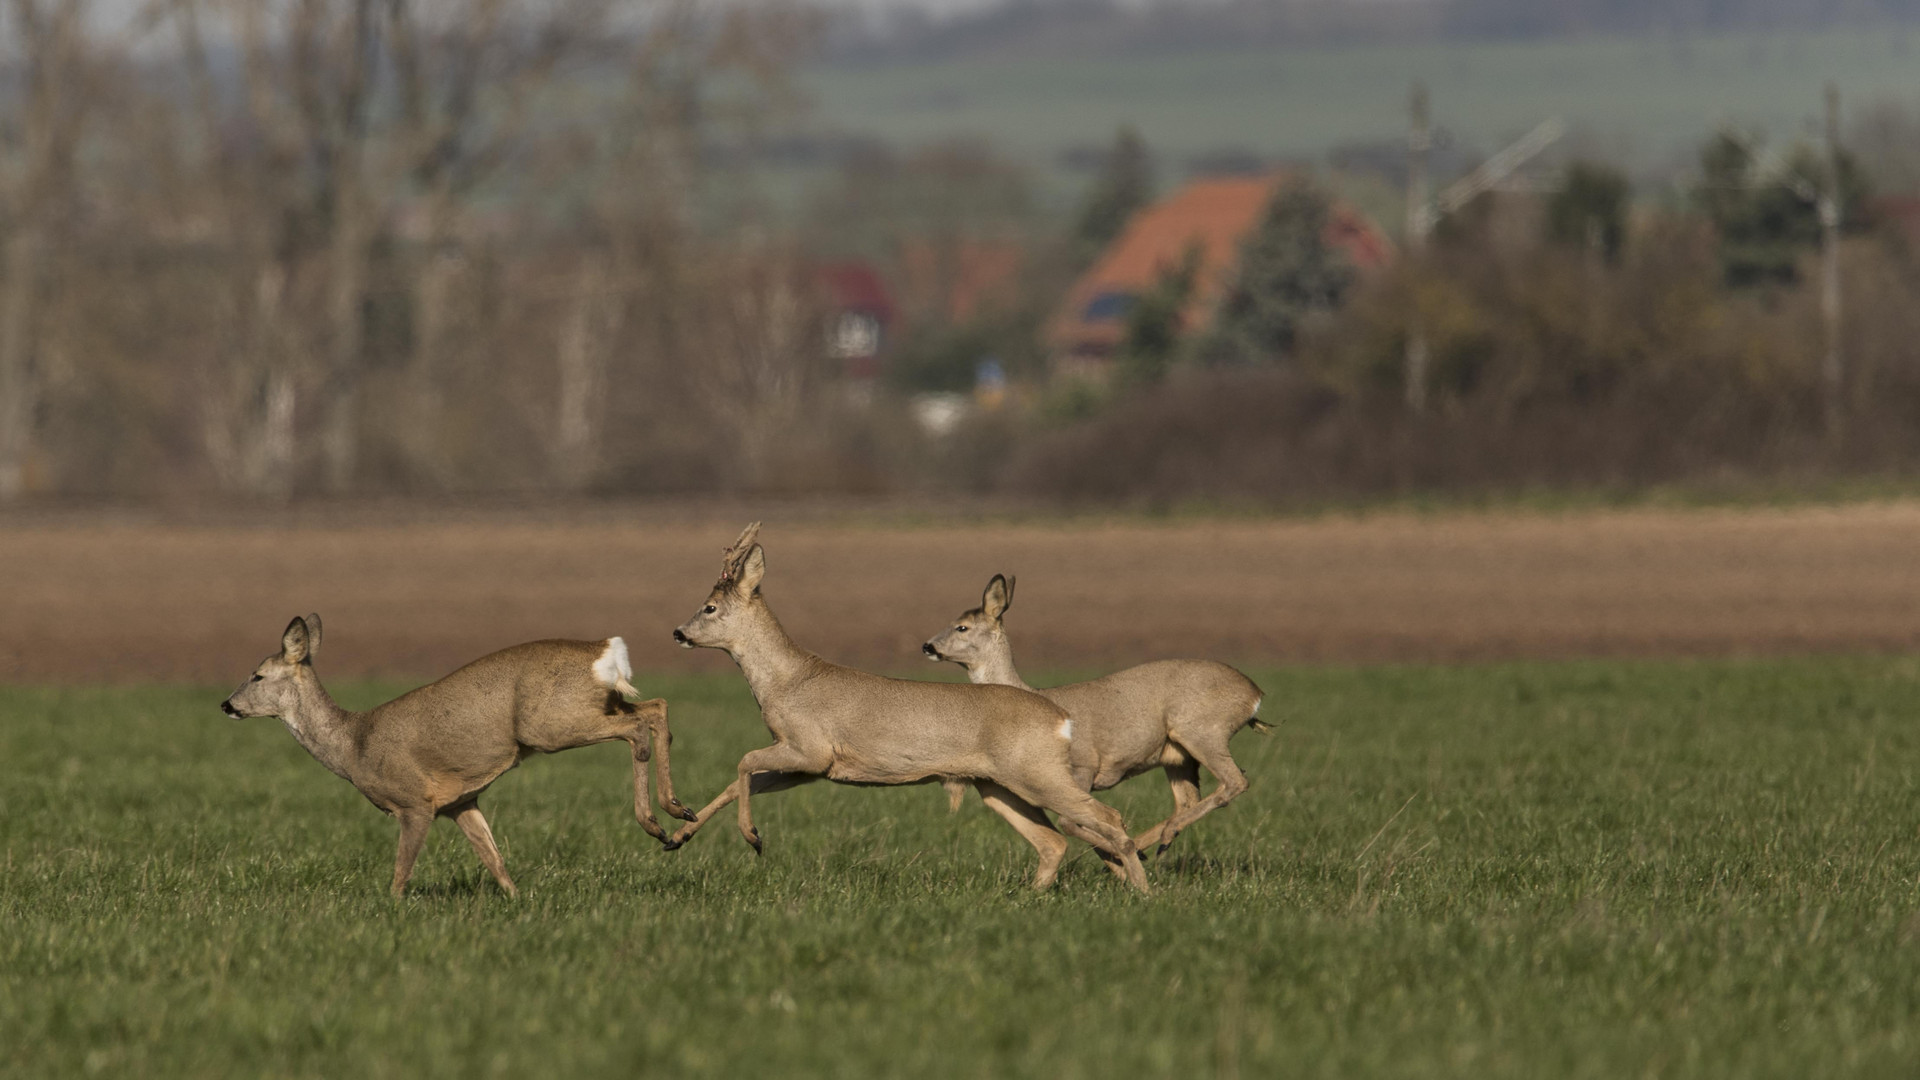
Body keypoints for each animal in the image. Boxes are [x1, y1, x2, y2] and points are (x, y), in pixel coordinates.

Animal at [224, 614, 691, 891]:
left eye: (258, 674)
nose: (227, 704)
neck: (354, 743)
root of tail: (605, 650)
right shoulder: (460, 801)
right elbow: (495, 860)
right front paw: (517, 900)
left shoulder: (415, 802)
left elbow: (401, 872)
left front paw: (393, 911)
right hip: (597, 706)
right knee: (656, 709)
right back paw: (678, 813)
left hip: (550, 725)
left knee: (636, 730)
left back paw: (655, 823)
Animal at [668, 522, 1144, 891]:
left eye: (709, 607)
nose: (677, 632)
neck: (785, 681)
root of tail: (1060, 717)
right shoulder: (809, 766)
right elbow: (740, 781)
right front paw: (678, 832)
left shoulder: (811, 748)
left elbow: (744, 762)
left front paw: (752, 837)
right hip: (998, 785)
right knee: (1054, 841)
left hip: (1036, 771)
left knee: (1108, 816)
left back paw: (1142, 891)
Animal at [921, 576, 1267, 853]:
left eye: (962, 626)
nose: (927, 646)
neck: (1031, 693)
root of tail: (1254, 694)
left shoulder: (1084, 765)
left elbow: (1069, 822)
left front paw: (1114, 851)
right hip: (1177, 754)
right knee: (1189, 798)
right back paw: (1154, 844)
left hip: (1201, 730)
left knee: (1235, 781)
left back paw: (1152, 842)